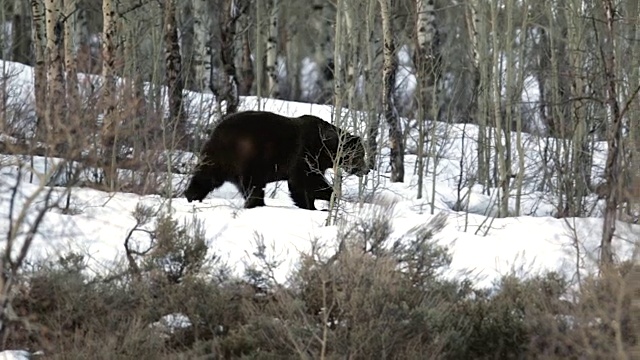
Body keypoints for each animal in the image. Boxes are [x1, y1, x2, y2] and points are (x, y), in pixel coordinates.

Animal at [182, 110, 368, 211]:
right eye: (360, 155)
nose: (366, 169)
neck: (326, 148)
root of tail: (215, 131)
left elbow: (300, 186)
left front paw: (311, 205)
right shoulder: (305, 153)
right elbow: (306, 180)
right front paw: (329, 196)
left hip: (218, 159)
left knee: (205, 177)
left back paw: (192, 196)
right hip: (249, 157)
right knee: (253, 186)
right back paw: (256, 204)